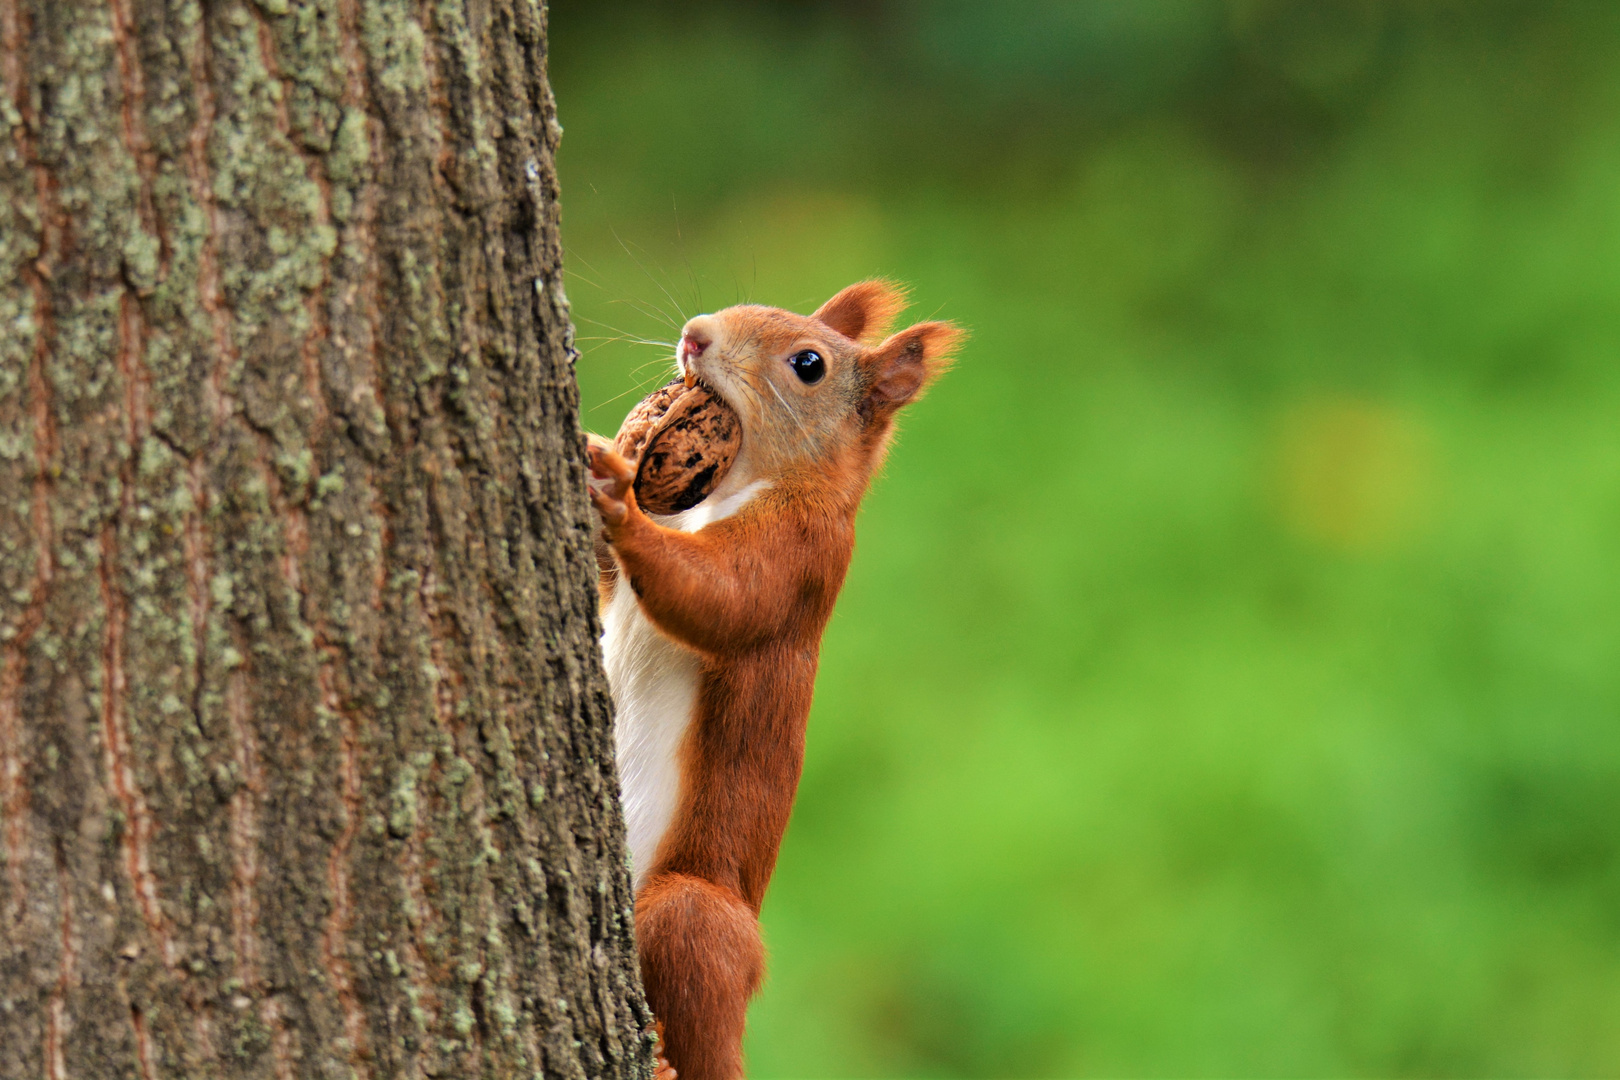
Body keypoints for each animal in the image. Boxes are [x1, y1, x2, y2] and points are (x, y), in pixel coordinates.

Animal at [586, 283, 952, 1075]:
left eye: (808, 364)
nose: (694, 336)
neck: (729, 486)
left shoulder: (801, 553)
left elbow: (724, 598)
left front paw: (618, 498)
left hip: (691, 914)